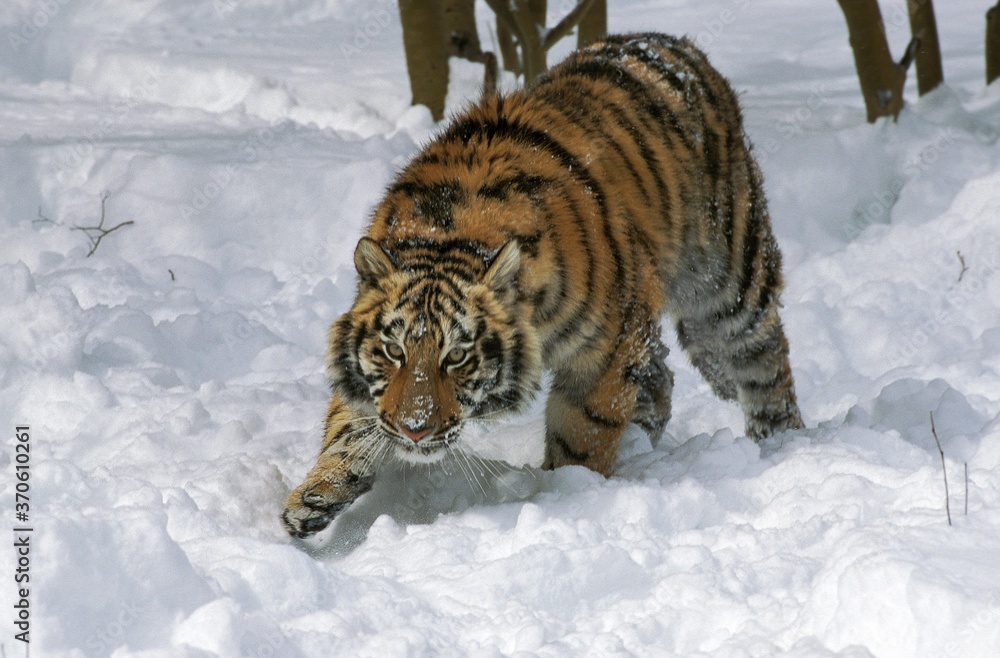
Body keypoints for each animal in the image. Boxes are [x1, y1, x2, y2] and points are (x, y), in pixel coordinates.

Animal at [282, 33, 804, 538]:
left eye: (457, 357)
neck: (449, 238)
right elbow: (349, 424)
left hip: (727, 281)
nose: (415, 430)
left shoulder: (608, 344)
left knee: (763, 360)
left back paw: (781, 440)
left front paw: (567, 492)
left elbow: (586, 429)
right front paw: (314, 496)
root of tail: (678, 45)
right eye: (393, 352)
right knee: (661, 376)